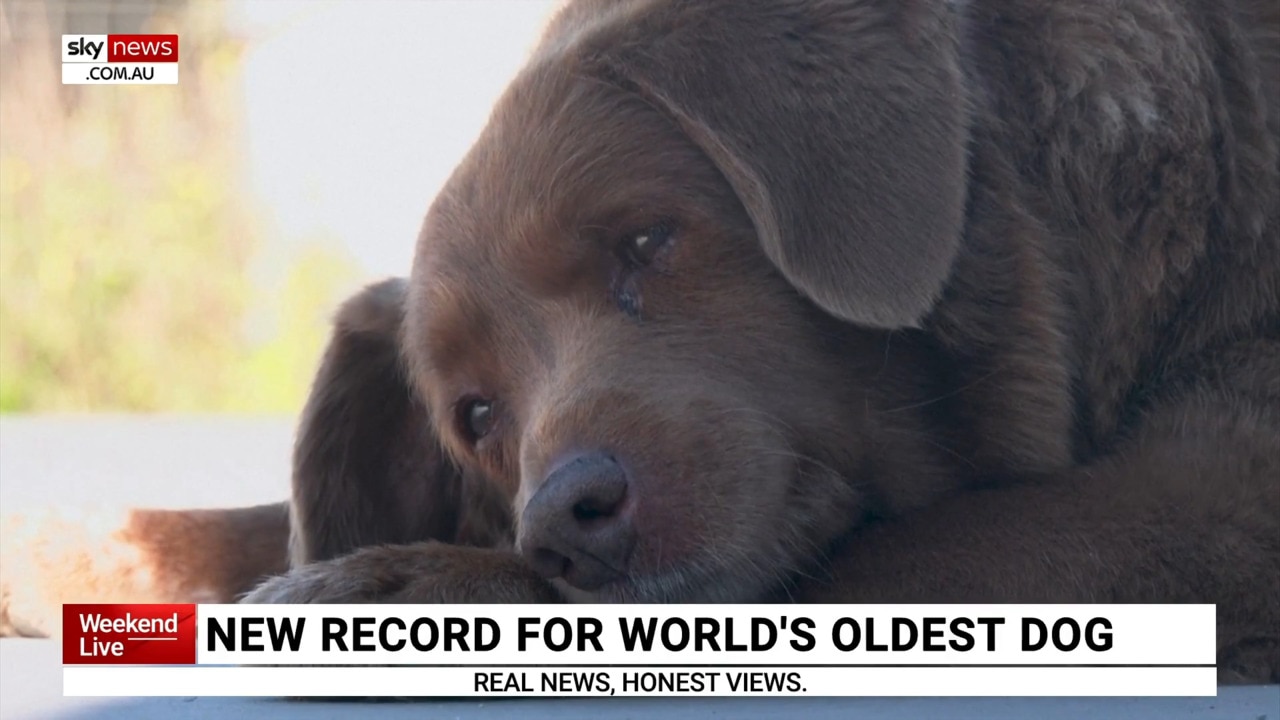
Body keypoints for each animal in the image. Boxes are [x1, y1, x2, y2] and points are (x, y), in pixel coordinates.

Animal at [2, 0, 1280, 681]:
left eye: (648, 240)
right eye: (476, 416)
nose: (564, 519)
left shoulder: (1210, 502)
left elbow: (861, 561)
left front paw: (396, 585)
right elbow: (245, 515)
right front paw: (53, 546)